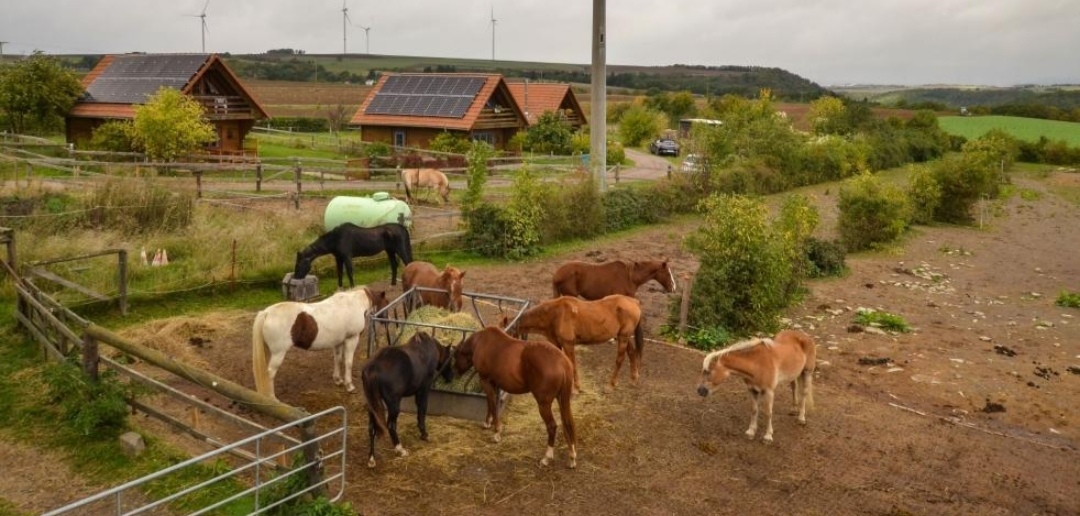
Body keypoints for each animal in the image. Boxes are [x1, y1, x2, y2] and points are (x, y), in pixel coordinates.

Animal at [251, 286, 389, 401]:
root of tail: (267, 313)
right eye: (386, 303)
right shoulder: (352, 339)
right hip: (278, 354)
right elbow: (348, 362)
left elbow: (338, 359)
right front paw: (349, 385)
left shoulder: (338, 342)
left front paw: (338, 380)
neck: (354, 303)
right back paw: (272, 398)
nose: (386, 322)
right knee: (270, 373)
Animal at [362, 331, 454, 468]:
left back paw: (371, 459)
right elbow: (422, 409)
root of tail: (374, 367)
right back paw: (400, 449)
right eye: (450, 360)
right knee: (391, 425)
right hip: (393, 404)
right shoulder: (424, 388)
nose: (451, 377)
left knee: (372, 427)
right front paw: (424, 434)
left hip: (373, 404)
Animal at [453, 326, 577, 468]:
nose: (454, 373)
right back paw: (572, 456)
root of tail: (562, 362)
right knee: (568, 422)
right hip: (563, 400)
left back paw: (546, 457)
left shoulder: (485, 381)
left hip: (544, 404)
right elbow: (492, 404)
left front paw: (496, 433)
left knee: (552, 426)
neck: (481, 342)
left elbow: (491, 403)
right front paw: (488, 423)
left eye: (455, 356)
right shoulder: (494, 384)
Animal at [506, 295, 643, 393]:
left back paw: (611, 385)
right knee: (632, 353)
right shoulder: (557, 343)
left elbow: (572, 363)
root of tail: (633, 301)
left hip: (623, 337)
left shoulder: (568, 344)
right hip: (623, 336)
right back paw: (634, 379)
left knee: (620, 359)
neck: (555, 313)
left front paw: (576, 388)